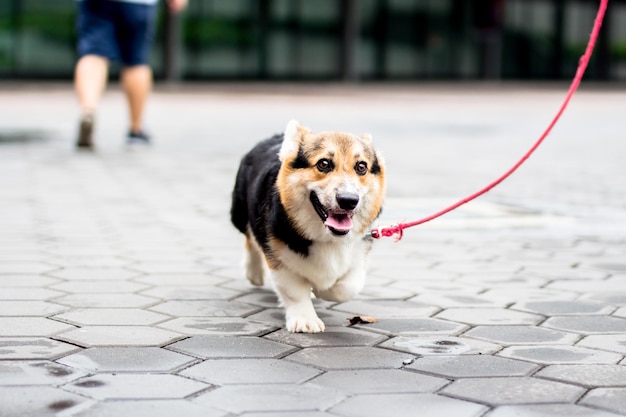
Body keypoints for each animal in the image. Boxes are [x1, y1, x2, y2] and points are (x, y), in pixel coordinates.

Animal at [230, 119, 386, 332]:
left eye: (361, 167)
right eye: (324, 164)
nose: (348, 200)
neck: (328, 238)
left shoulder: (359, 253)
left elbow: (347, 287)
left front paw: (322, 289)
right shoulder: (278, 259)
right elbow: (294, 291)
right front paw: (305, 320)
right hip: (240, 213)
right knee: (250, 237)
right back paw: (254, 272)